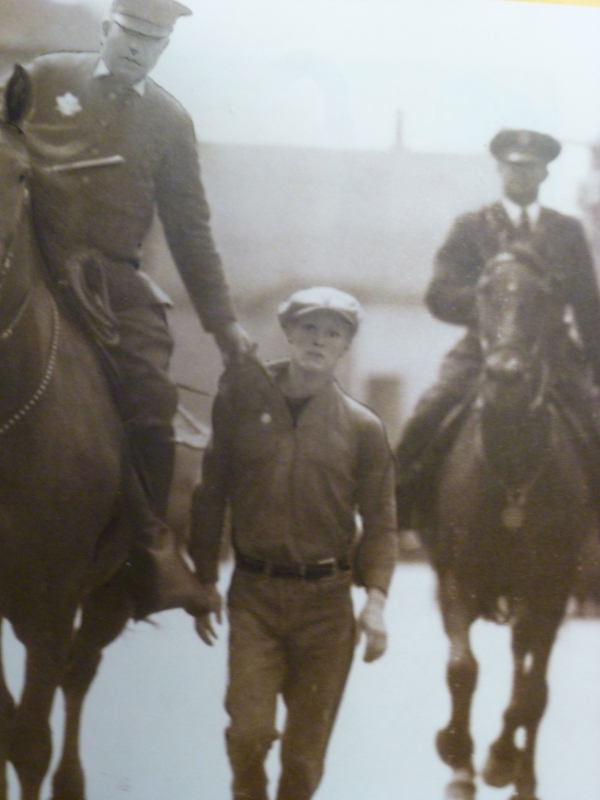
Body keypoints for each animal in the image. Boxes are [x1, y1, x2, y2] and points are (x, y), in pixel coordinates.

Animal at [420, 250, 596, 800]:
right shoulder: (456, 579)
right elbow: (462, 668)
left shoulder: (552, 591)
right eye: (483, 292)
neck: (513, 472)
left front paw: (501, 760)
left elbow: (532, 693)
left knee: (528, 677)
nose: (505, 378)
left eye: (542, 298)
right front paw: (456, 755)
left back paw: (522, 774)